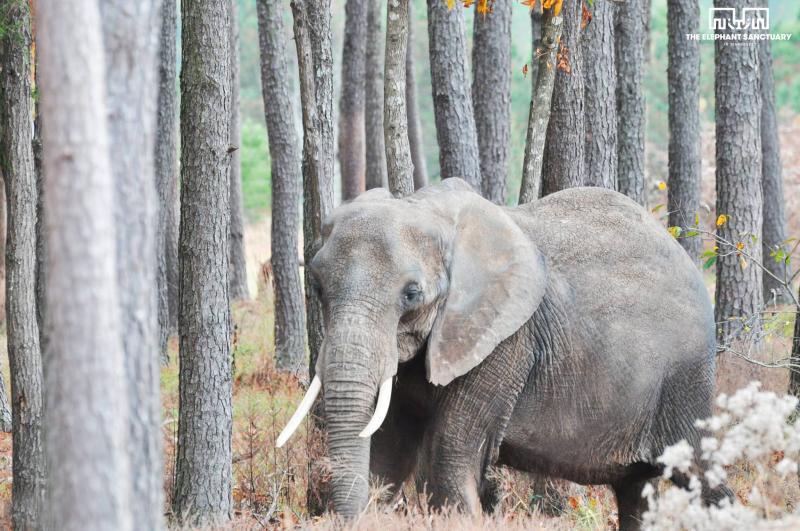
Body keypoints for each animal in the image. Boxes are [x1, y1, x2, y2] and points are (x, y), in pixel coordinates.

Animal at [276, 178, 729, 529]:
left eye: (412, 294)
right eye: (317, 287)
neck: (428, 209)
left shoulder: (505, 342)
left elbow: (448, 455)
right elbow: (388, 449)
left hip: (684, 378)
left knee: (702, 474)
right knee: (635, 489)